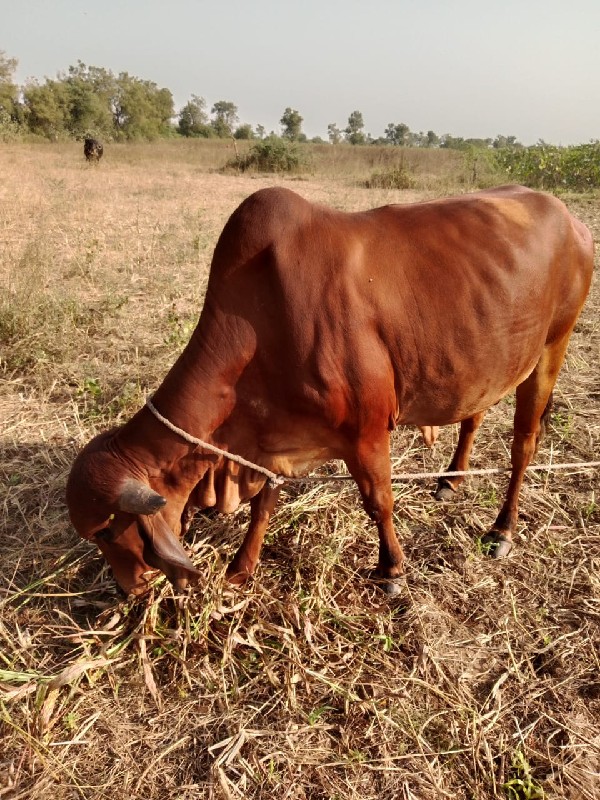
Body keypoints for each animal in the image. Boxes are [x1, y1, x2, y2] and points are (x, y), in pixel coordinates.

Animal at [64, 186, 592, 592]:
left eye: (107, 531)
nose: (129, 588)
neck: (260, 320)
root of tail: (571, 218)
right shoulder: (271, 440)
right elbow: (263, 504)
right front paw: (241, 568)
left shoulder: (366, 433)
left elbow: (379, 501)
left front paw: (392, 570)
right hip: (486, 361)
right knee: (475, 414)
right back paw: (450, 479)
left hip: (552, 347)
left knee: (524, 445)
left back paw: (501, 529)